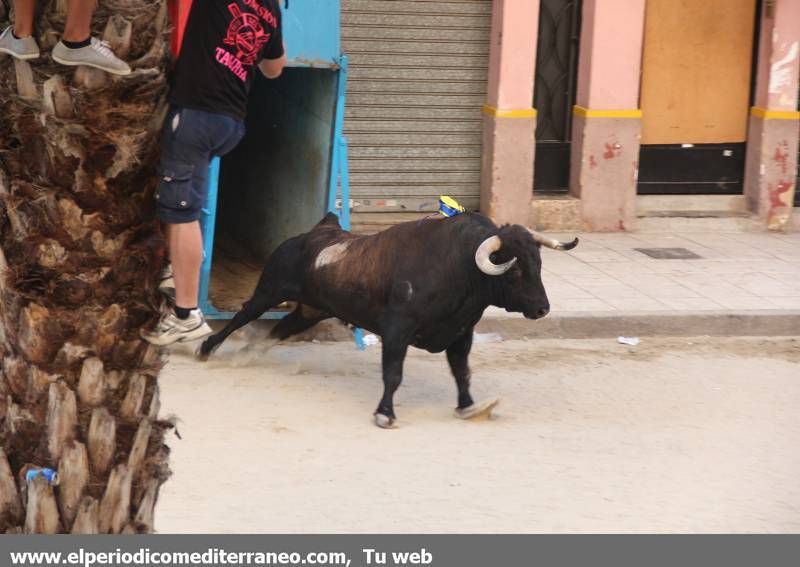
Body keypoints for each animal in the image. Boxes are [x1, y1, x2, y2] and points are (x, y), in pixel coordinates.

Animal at [199, 212, 576, 426]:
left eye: (538, 264)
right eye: (514, 271)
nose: (542, 309)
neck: (459, 265)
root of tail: (313, 234)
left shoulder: (460, 334)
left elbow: (462, 372)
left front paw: (470, 407)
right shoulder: (398, 330)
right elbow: (393, 373)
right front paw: (385, 413)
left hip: (312, 310)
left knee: (279, 329)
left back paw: (246, 356)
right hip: (269, 290)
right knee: (242, 316)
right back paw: (206, 349)